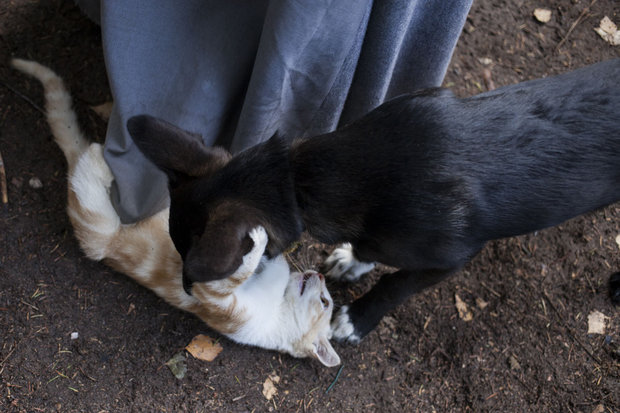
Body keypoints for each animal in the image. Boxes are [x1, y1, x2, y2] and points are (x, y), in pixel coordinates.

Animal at [10, 57, 340, 364]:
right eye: (326, 302)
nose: (318, 275)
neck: (279, 307)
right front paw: (258, 243)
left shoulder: (218, 302)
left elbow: (232, 274)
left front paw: (257, 241)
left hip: (96, 231)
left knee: (84, 175)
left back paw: (97, 157)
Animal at [128, 58, 620, 342]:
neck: (300, 178)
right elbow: (369, 248)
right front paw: (353, 259)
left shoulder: (452, 257)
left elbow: (395, 284)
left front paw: (356, 319)